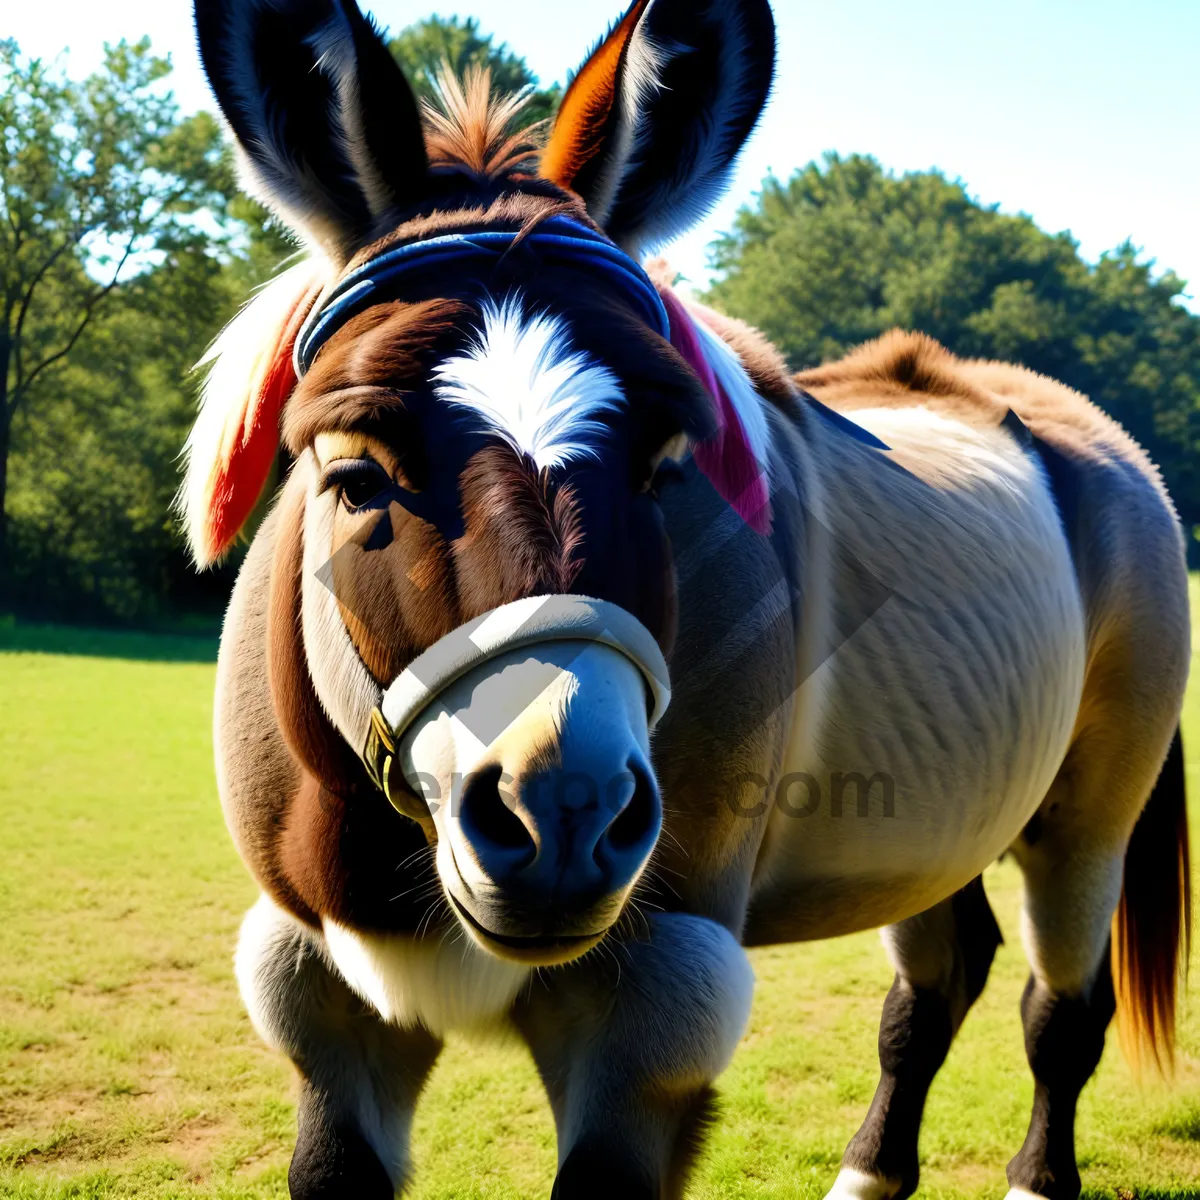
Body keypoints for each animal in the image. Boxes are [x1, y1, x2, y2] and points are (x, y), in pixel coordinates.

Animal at [182, 2, 1195, 1200]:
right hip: (933, 828)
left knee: (1060, 1012)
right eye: (354, 477)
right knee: (937, 985)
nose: (560, 813)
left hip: (1088, 819)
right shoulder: (321, 987)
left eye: (666, 463)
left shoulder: (661, 994)